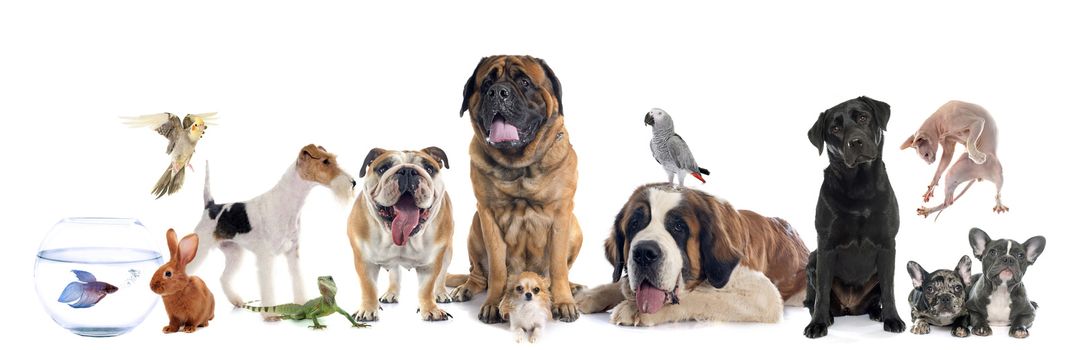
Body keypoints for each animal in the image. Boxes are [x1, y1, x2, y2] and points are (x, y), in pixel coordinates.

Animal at [185, 143, 353, 312]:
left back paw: (236, 301)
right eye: (325, 161)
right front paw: (270, 314)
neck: (288, 203)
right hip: (200, 248)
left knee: (223, 278)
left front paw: (302, 304)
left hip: (234, 253)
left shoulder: (292, 252)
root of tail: (210, 206)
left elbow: (297, 278)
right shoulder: (266, 256)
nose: (353, 182)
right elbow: (268, 287)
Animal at [346, 145, 452, 320]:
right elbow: (368, 287)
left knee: (442, 275)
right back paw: (391, 294)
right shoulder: (364, 261)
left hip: (448, 252)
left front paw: (430, 309)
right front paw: (368, 309)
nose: (408, 171)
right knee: (395, 272)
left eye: (429, 169)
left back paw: (441, 293)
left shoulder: (431, 263)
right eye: (383, 168)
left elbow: (426, 288)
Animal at [443, 54, 585, 320]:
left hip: (575, 228)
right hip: (475, 229)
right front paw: (492, 303)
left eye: (524, 82)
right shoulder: (487, 216)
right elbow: (497, 269)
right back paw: (466, 288)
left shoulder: (562, 214)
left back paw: (572, 287)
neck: (520, 167)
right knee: (479, 274)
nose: (498, 92)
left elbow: (558, 266)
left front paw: (563, 301)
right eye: (487, 83)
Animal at [577, 184, 805, 325]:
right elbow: (622, 283)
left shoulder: (762, 295)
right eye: (634, 224)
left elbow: (704, 298)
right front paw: (591, 294)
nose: (643, 253)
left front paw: (634, 308)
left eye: (678, 227)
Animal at [805, 95, 904, 336]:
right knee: (813, 299)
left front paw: (892, 318)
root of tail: (850, 308)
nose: (855, 141)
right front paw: (817, 323)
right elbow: (822, 292)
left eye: (863, 117)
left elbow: (889, 289)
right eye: (835, 128)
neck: (860, 187)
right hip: (812, 259)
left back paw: (878, 313)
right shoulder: (825, 245)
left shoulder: (888, 245)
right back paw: (827, 316)